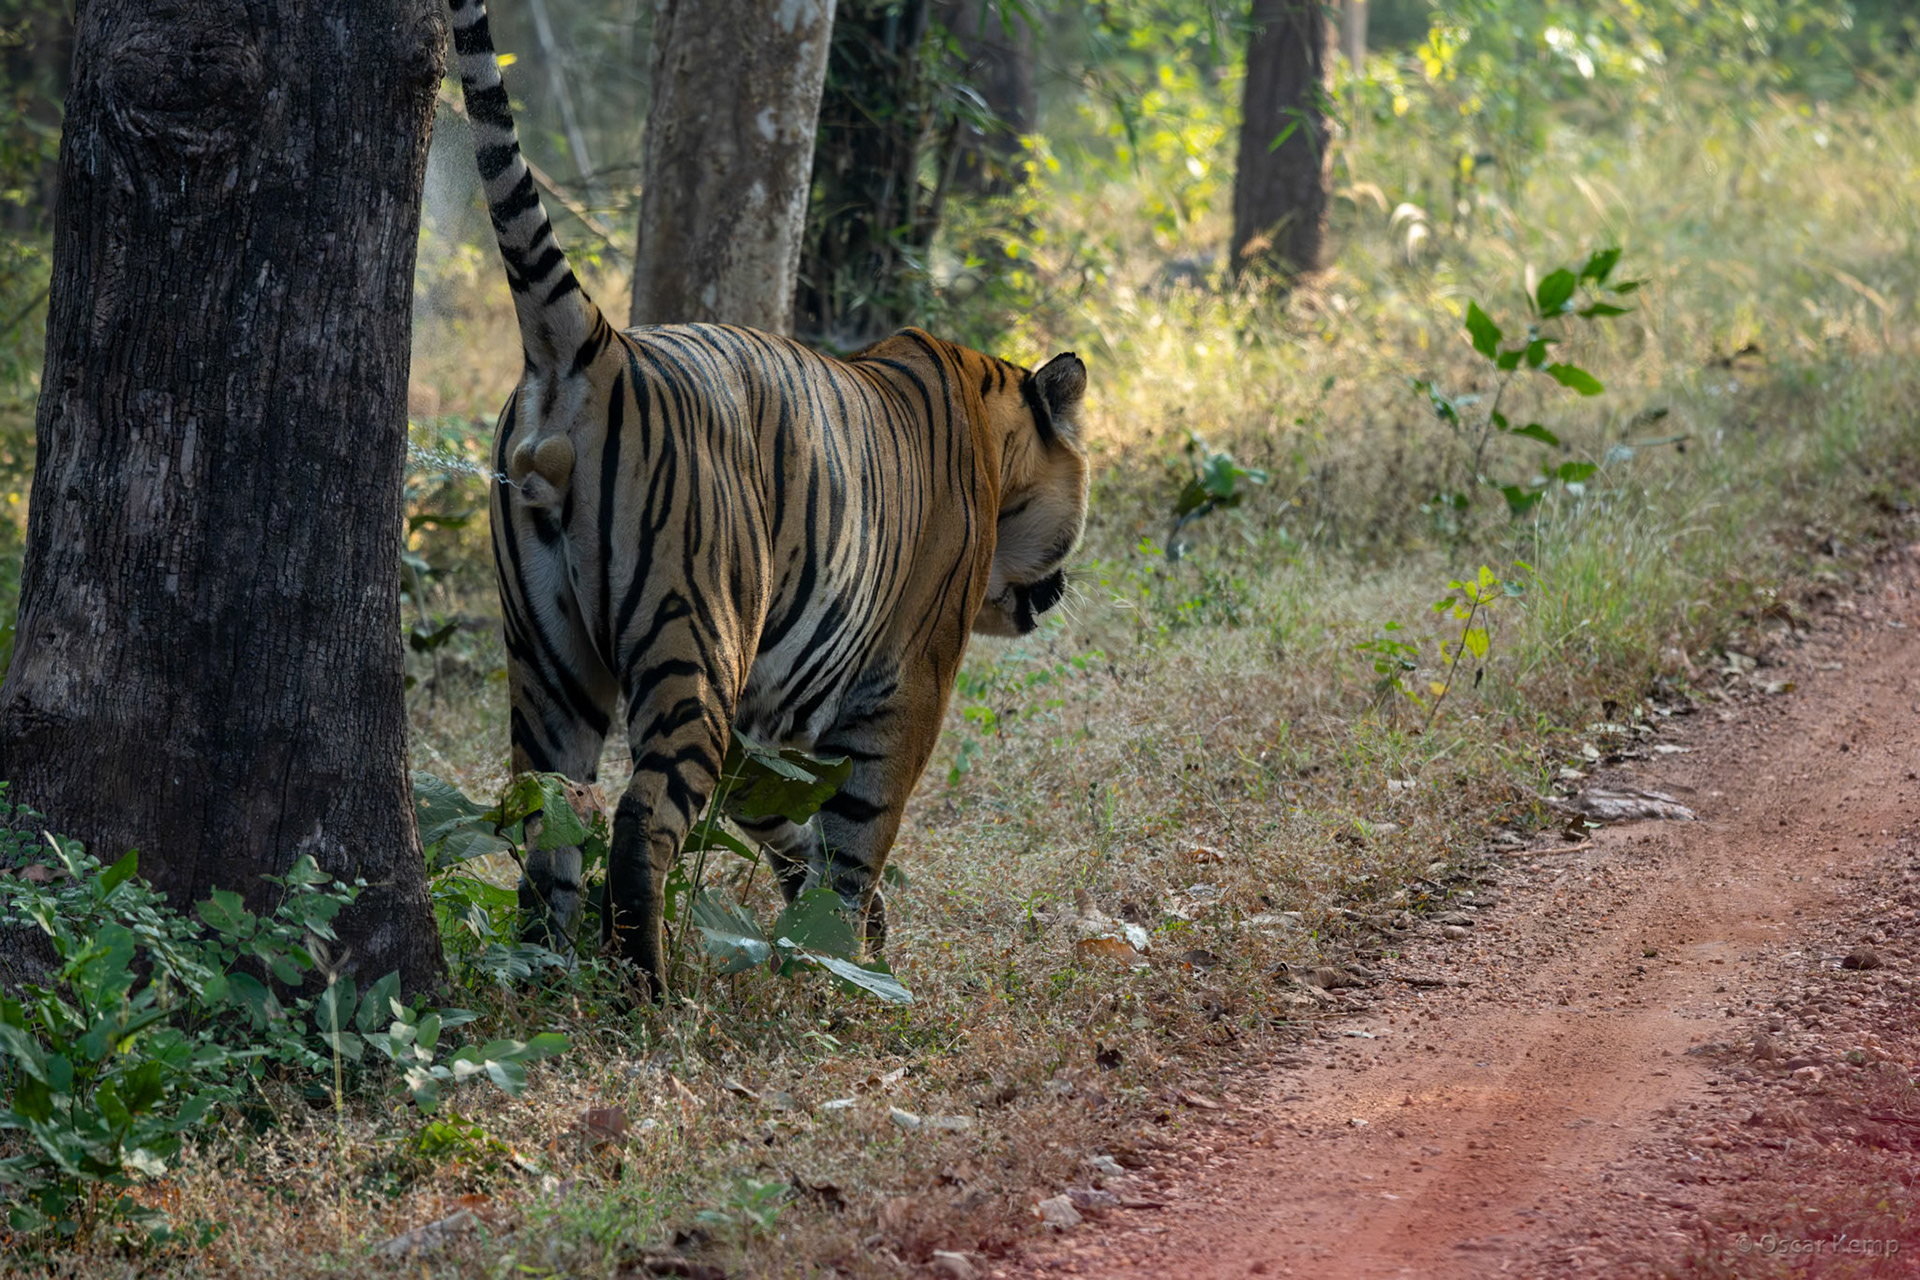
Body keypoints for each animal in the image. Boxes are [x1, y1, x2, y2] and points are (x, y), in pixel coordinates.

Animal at [447, 0, 1092, 998]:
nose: (1058, 592)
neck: (992, 421)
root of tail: (592, 345)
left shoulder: (766, 711)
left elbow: (782, 818)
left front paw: (824, 930)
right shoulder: (907, 683)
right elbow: (860, 831)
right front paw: (851, 962)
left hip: (550, 660)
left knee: (547, 820)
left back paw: (548, 978)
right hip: (694, 643)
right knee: (641, 819)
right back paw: (649, 995)